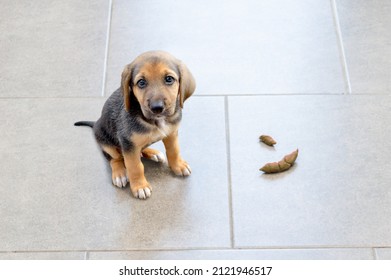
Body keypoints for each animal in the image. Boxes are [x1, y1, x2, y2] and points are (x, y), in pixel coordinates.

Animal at [74, 50, 196, 199]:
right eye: (141, 82)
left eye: (169, 79)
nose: (157, 108)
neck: (155, 121)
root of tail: (96, 122)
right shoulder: (128, 143)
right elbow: (135, 166)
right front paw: (140, 186)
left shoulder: (171, 133)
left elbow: (174, 151)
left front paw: (178, 165)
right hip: (106, 142)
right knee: (115, 158)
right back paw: (120, 173)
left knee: (139, 150)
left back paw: (153, 153)